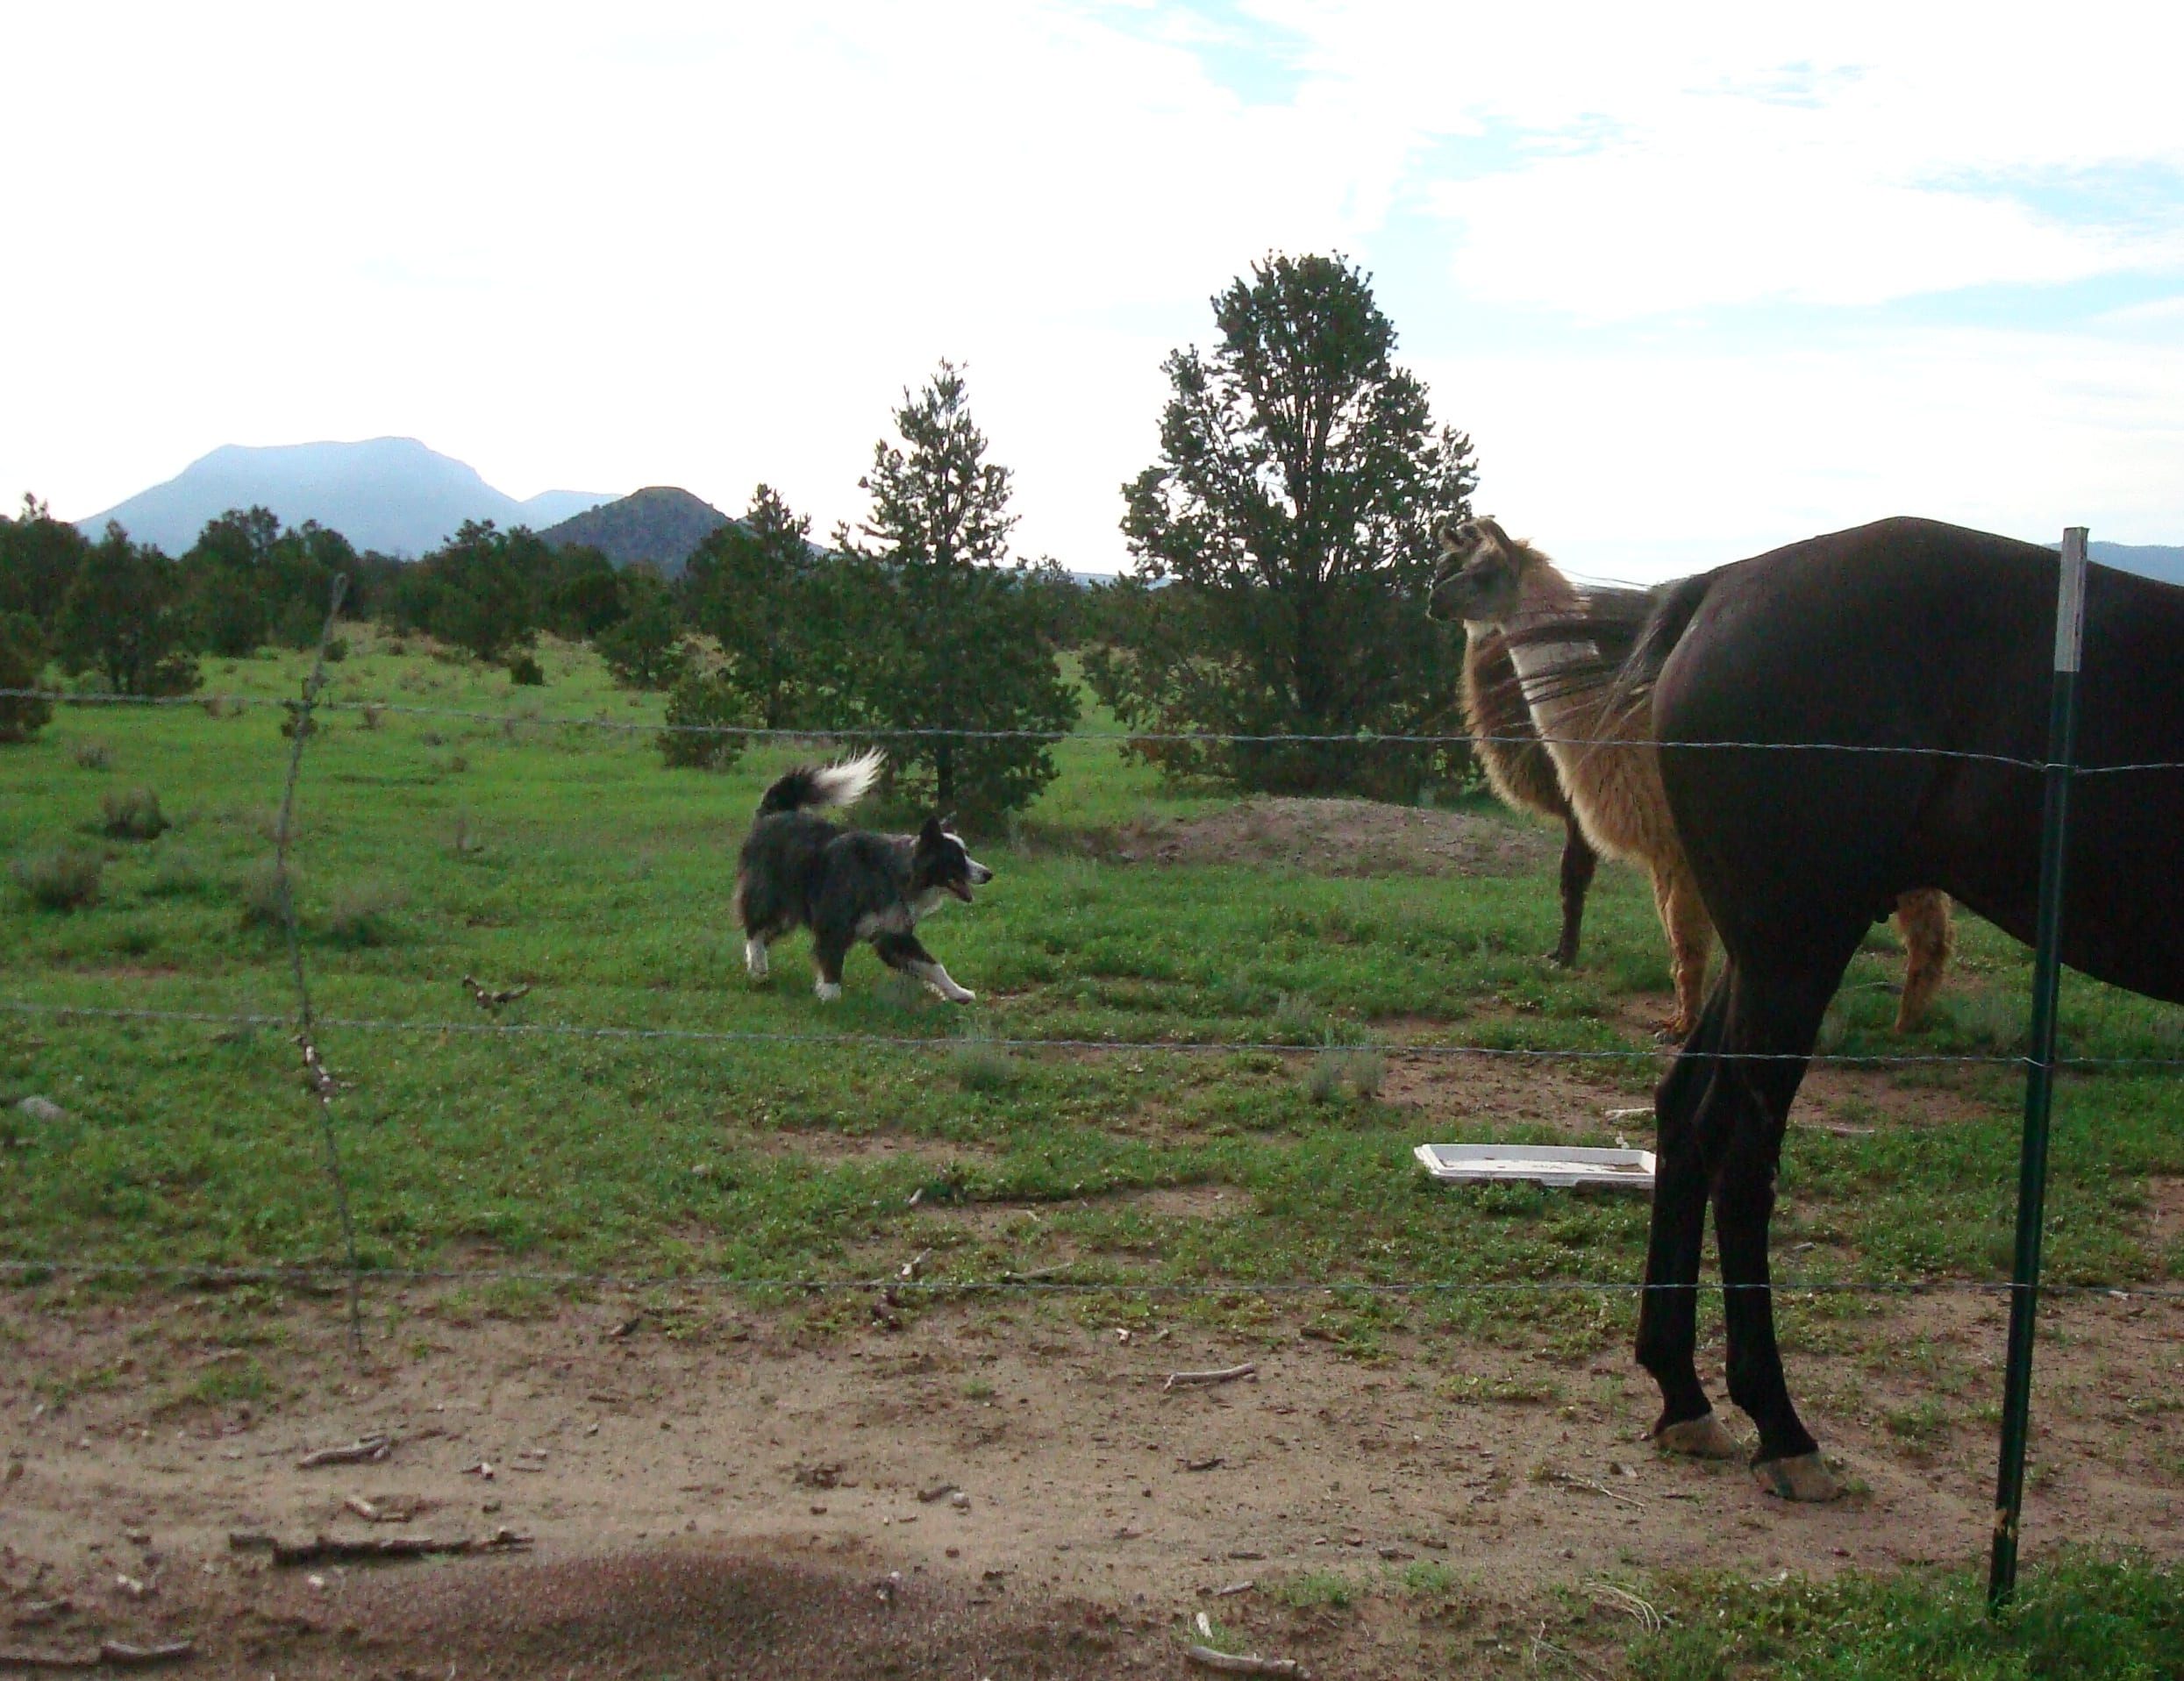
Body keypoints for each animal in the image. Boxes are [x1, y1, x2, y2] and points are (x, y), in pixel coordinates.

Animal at [1606, 515, 2184, 1500]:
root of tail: (1722, 588)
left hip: (1764, 953)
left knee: (1684, 1114)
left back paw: (1684, 1394)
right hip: (1798, 950)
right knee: (1741, 1157)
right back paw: (1781, 1427)